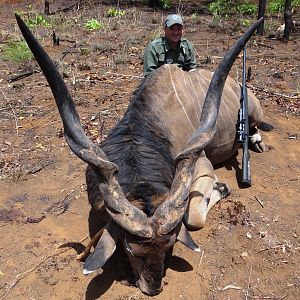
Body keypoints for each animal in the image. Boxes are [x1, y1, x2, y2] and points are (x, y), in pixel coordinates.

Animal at [15, 16, 268, 296]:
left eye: (169, 246)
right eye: (130, 249)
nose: (153, 287)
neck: (150, 123)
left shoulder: (201, 163)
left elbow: (193, 219)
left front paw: (222, 187)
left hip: (255, 112)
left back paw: (256, 140)